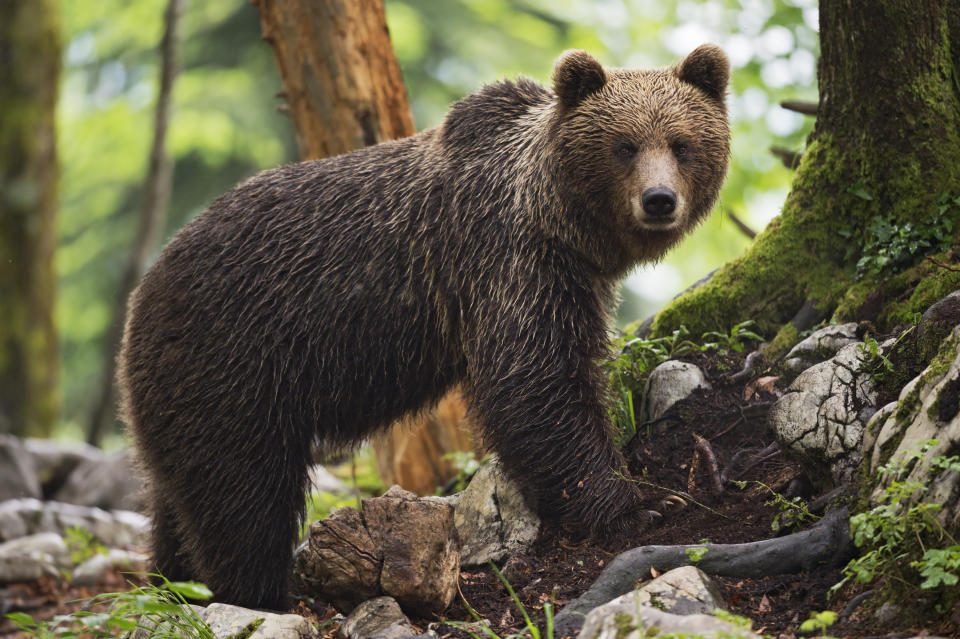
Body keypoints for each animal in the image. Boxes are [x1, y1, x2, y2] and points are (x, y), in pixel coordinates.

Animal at [120, 45, 732, 608]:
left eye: (681, 144)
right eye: (624, 146)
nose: (659, 200)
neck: (560, 222)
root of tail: (142, 293)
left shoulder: (568, 276)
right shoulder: (510, 263)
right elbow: (536, 382)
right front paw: (642, 504)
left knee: (179, 497)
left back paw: (172, 582)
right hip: (232, 362)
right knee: (243, 495)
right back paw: (261, 592)